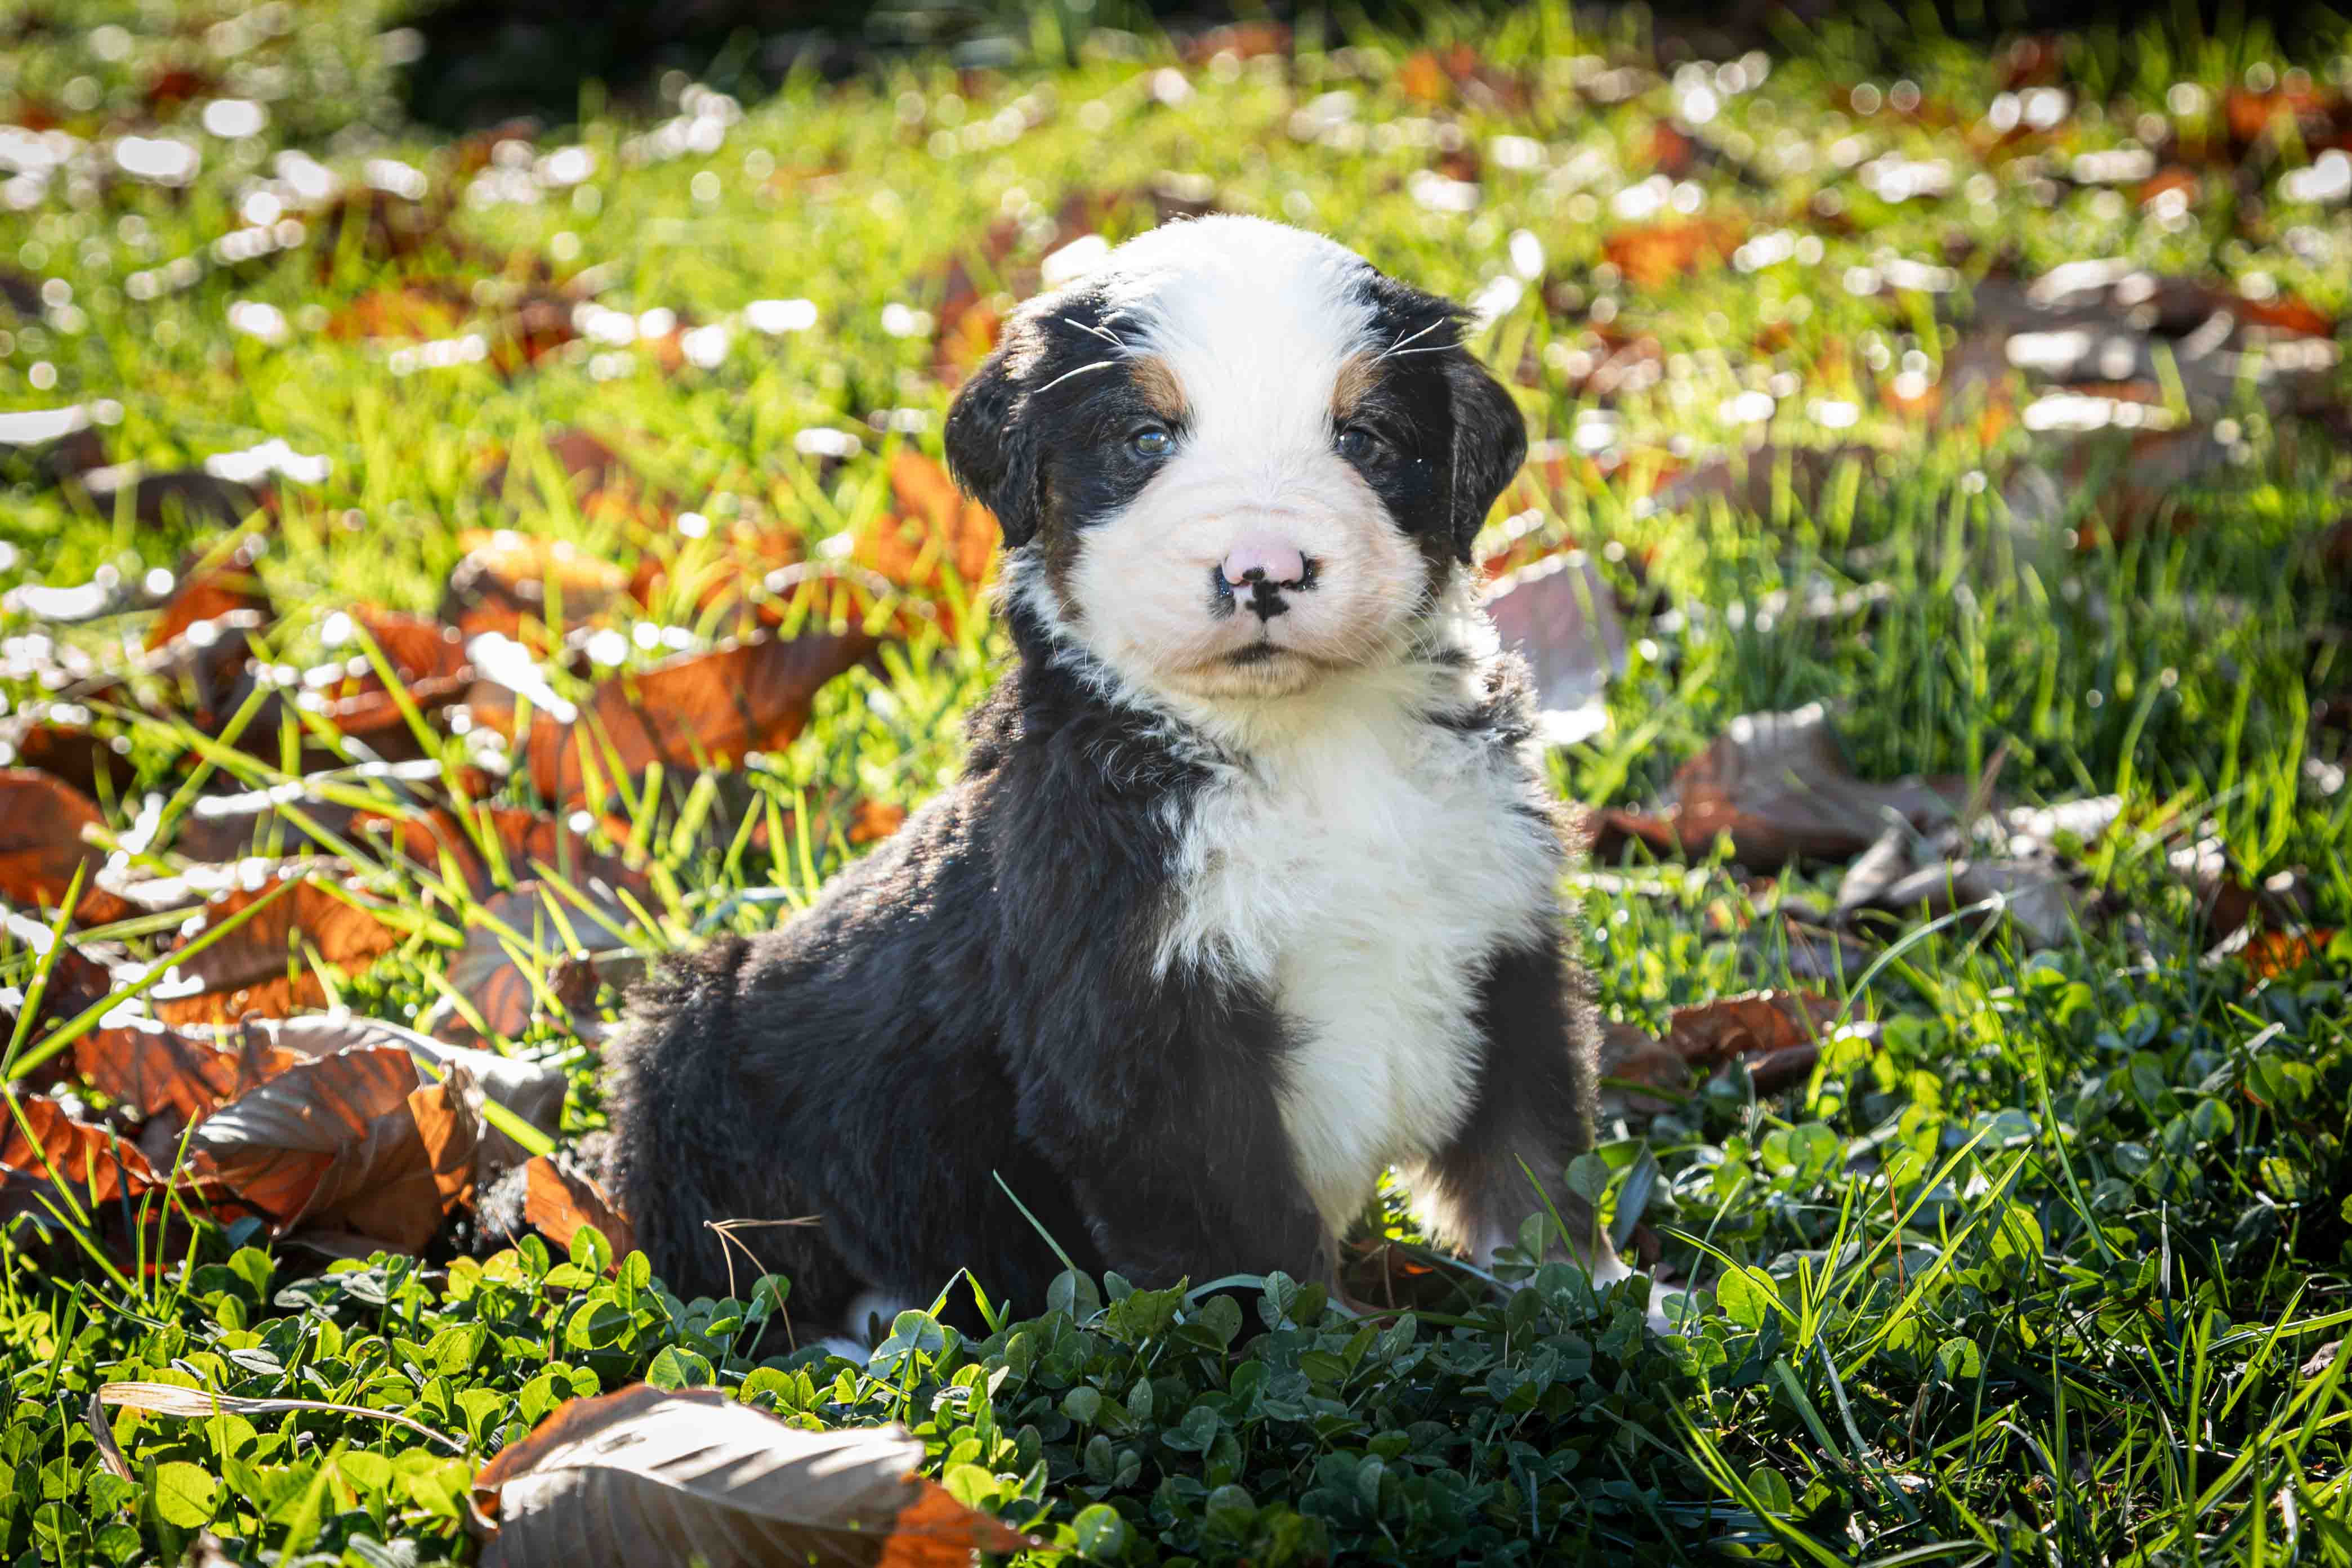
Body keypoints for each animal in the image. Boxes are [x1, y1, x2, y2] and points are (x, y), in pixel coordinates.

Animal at [606, 215, 1637, 1344]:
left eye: (1362, 438)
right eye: (1146, 440)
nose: (1263, 569)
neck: (1309, 751)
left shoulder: (1502, 945)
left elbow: (1533, 1171)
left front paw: (1617, 1313)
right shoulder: (1143, 1037)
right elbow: (1252, 1265)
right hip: (684, 1062)